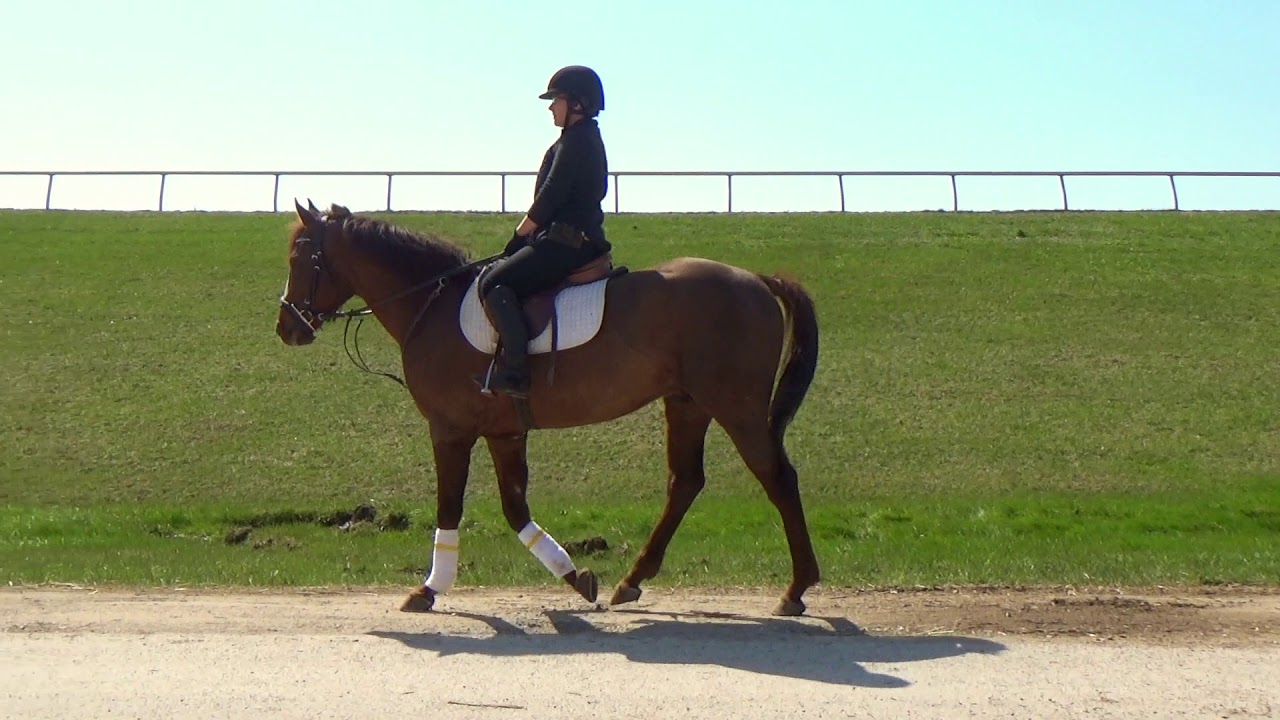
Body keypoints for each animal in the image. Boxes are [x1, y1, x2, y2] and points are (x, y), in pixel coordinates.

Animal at [275, 201, 822, 616]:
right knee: (685, 482)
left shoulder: (450, 430)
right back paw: (632, 581)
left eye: (301, 258)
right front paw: (577, 578)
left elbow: (450, 506)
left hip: (736, 406)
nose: (287, 327)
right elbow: (516, 509)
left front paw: (429, 589)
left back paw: (796, 589)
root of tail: (756, 279)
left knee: (778, 477)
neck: (432, 304)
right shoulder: (505, 433)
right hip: (687, 404)